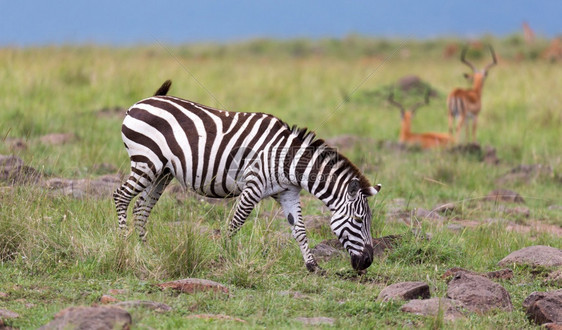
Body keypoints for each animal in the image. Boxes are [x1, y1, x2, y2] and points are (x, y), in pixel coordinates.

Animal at [111, 81, 378, 272]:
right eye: (358, 220)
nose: (368, 262)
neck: (287, 160)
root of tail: (143, 101)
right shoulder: (253, 187)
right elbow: (234, 224)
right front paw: (224, 257)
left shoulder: (288, 193)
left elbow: (300, 229)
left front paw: (312, 266)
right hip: (146, 162)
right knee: (121, 196)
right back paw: (123, 245)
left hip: (161, 173)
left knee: (141, 208)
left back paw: (145, 250)